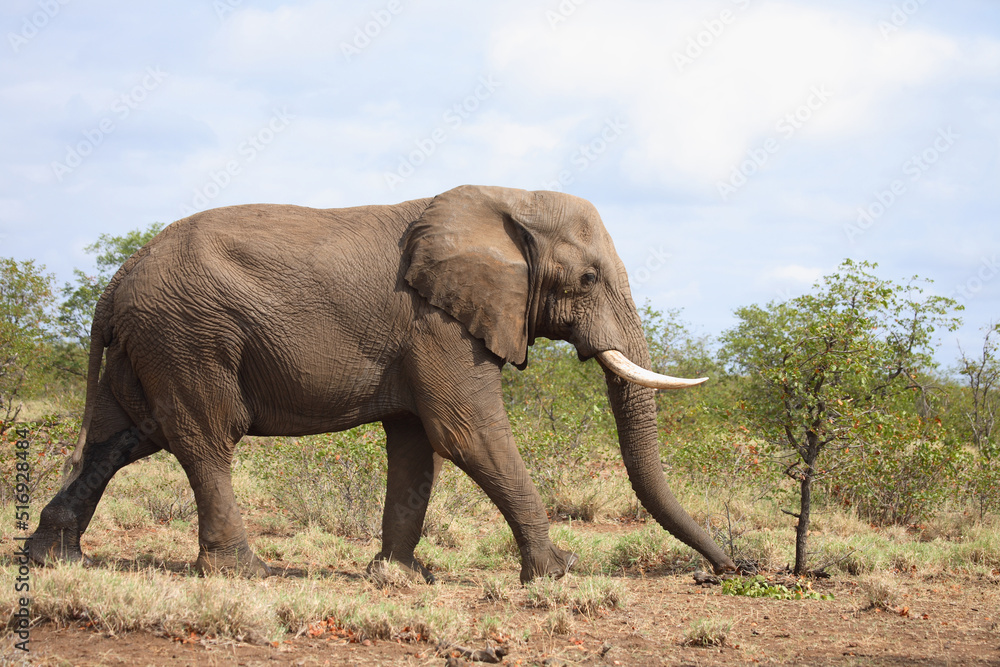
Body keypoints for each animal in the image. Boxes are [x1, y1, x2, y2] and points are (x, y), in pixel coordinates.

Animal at [30, 184, 736, 583]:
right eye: (588, 280)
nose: (732, 570)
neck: (504, 202)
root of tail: (115, 282)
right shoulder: (436, 323)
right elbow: (467, 434)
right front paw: (558, 575)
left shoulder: (422, 332)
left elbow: (416, 446)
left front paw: (398, 577)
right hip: (188, 335)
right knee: (205, 438)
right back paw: (244, 573)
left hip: (152, 342)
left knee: (123, 438)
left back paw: (51, 558)